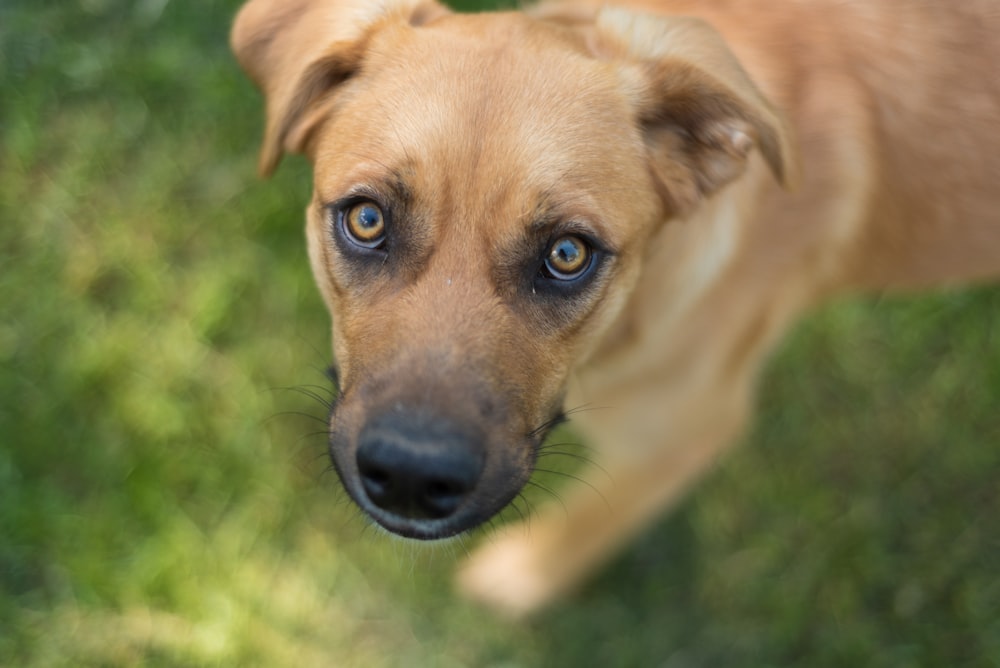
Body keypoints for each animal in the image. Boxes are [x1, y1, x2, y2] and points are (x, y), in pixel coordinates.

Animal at [230, 0, 1000, 616]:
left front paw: (522, 579)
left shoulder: (680, 438)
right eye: (366, 220)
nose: (414, 479)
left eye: (568, 254)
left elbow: (593, 523)